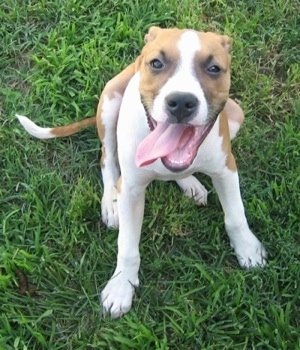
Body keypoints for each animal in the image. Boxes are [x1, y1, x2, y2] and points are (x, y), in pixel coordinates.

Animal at [15, 26, 268, 318]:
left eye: (214, 68)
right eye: (156, 63)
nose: (181, 101)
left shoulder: (226, 169)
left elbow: (236, 215)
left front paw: (248, 249)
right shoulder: (132, 189)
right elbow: (127, 246)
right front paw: (121, 287)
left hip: (236, 114)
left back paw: (190, 184)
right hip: (110, 102)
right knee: (107, 160)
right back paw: (111, 203)